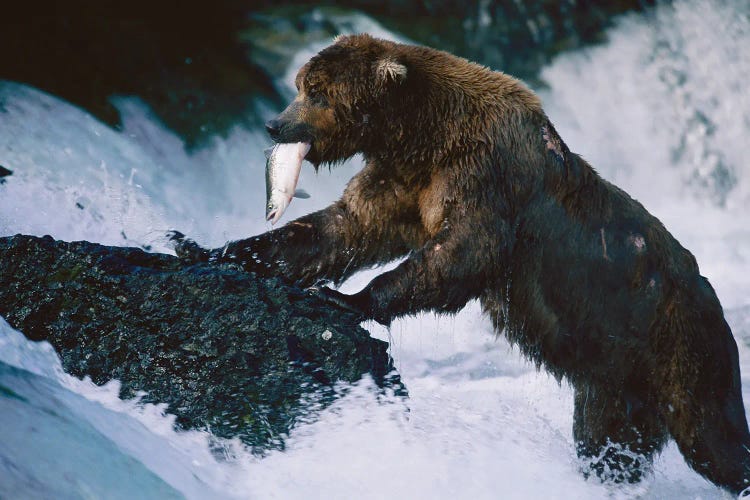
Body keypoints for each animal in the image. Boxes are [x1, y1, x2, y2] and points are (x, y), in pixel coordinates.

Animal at [173, 34, 750, 492]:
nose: (275, 124)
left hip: (679, 347)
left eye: (316, 90)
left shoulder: (483, 173)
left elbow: (462, 253)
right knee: (608, 441)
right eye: (300, 84)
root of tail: (715, 302)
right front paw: (203, 246)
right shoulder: (404, 180)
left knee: (712, 437)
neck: (420, 134)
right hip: (613, 379)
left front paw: (347, 298)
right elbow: (340, 229)